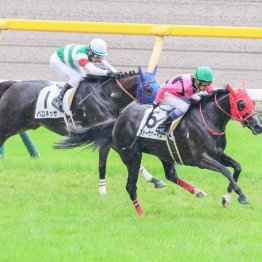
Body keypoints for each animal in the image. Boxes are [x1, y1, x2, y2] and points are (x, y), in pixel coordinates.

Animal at [0, 66, 165, 193]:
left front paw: (155, 180)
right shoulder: (103, 134)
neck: (107, 95)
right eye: (149, 89)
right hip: (7, 124)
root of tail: (13, 85)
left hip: (22, 125)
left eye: (158, 86)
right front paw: (103, 191)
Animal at [58, 83, 262, 215]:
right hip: (131, 155)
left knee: (171, 175)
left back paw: (197, 191)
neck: (209, 120)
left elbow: (237, 167)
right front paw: (241, 197)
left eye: (253, 102)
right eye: (242, 103)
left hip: (164, 153)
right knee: (131, 186)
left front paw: (227, 198)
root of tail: (118, 120)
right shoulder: (201, 159)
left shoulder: (217, 153)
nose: (258, 126)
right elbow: (226, 171)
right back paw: (141, 213)